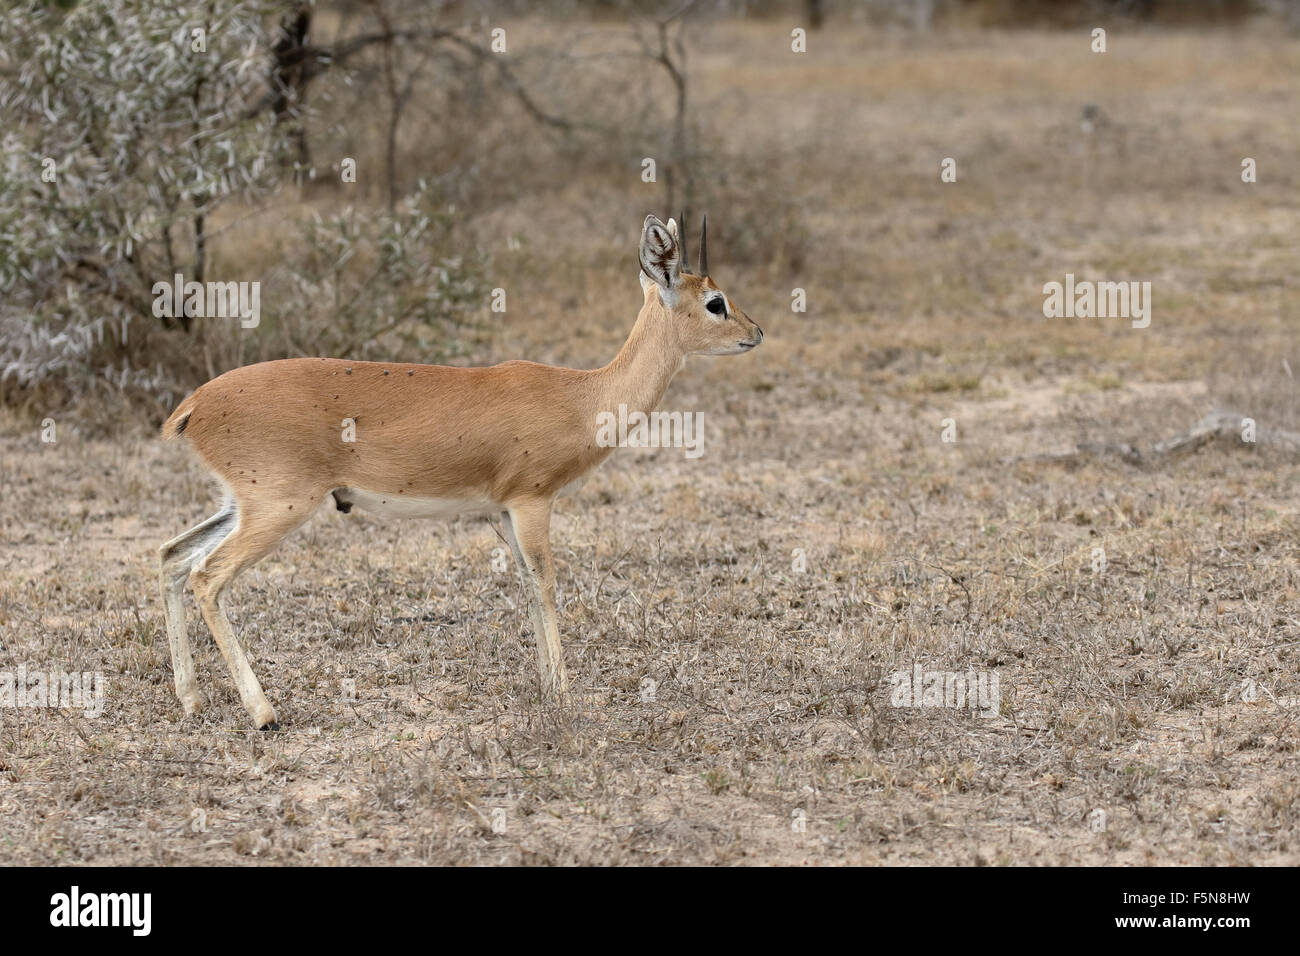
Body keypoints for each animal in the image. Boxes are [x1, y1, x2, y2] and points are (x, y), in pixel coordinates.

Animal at [157, 213, 759, 728]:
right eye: (715, 302)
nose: (755, 333)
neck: (580, 397)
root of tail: (194, 405)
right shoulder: (532, 501)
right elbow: (546, 585)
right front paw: (565, 696)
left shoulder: (506, 511)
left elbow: (527, 585)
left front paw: (547, 688)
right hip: (278, 507)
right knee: (206, 576)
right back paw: (264, 713)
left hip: (239, 504)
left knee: (170, 557)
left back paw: (191, 700)